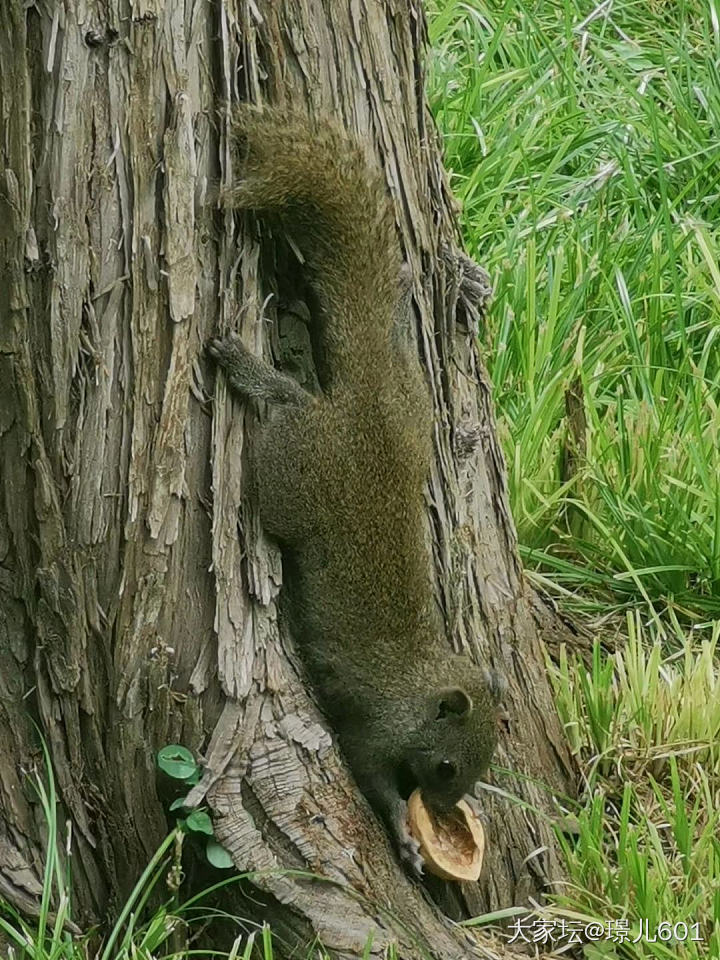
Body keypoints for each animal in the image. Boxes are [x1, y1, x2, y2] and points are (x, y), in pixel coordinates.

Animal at [208, 107, 500, 876]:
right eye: (451, 767)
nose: (446, 803)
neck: (420, 684)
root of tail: (363, 406)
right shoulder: (372, 727)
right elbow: (371, 779)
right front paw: (404, 830)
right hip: (293, 474)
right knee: (286, 409)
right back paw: (251, 371)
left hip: (411, 402)